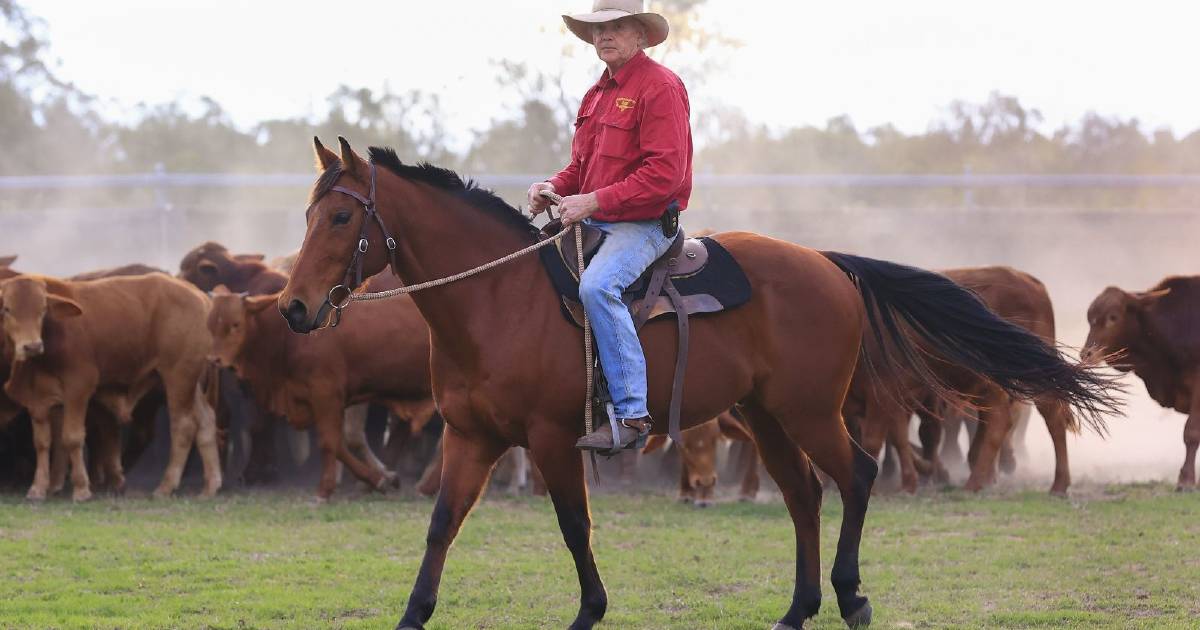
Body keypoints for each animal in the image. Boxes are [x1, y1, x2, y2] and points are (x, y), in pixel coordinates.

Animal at [2, 272, 217, 499]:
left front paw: (81, 489)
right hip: (192, 385)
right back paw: (210, 486)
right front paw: (38, 488)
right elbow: (42, 443)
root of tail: (199, 295)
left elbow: (71, 438)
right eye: (7, 309)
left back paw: (166, 486)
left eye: (42, 309)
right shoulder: (39, 401)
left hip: (178, 377)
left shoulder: (79, 387)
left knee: (183, 426)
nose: (32, 346)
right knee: (206, 421)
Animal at [207, 285, 436, 501]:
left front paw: (324, 490)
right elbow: (339, 445)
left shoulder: (325, 394)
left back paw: (427, 486)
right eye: (209, 324)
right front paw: (380, 479)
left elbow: (329, 442)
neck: (286, 336)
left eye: (235, 324)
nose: (213, 359)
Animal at [849, 265, 1084, 496]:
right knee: (998, 421)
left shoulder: (887, 394)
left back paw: (1054, 484)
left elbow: (883, 439)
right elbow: (897, 436)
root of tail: (1029, 281)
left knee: (1048, 419)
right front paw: (914, 478)